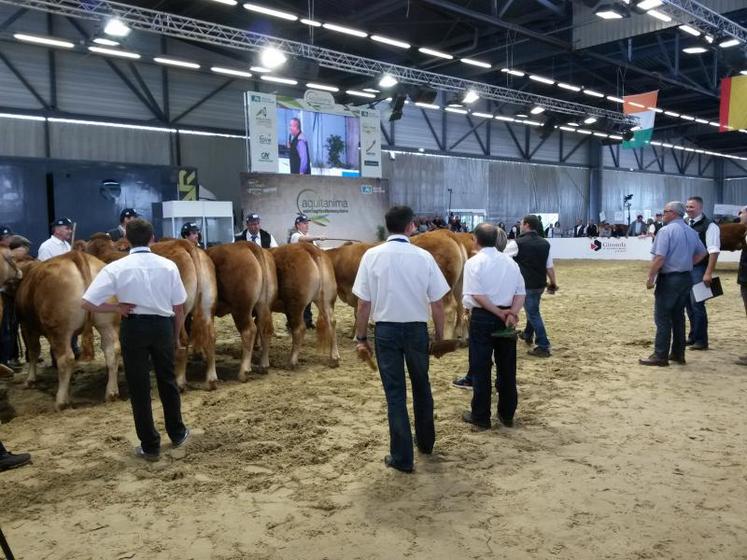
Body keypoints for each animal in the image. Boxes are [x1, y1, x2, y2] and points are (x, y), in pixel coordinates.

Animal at [14, 252, 120, 410]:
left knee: (66, 358)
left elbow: (33, 351)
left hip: (59, 329)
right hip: (108, 323)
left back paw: (61, 401)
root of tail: (77, 255)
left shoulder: (26, 325)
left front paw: (30, 380)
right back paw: (111, 393)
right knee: (112, 350)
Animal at [150, 240, 218, 390]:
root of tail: (184, 243)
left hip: (178, 311)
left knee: (182, 340)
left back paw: (180, 381)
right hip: (207, 304)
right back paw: (211, 380)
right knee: (210, 337)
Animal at [207, 242, 278, 380]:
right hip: (264, 304)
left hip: (241, 308)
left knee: (249, 330)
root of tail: (246, 245)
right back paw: (263, 365)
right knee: (265, 328)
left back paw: (243, 371)